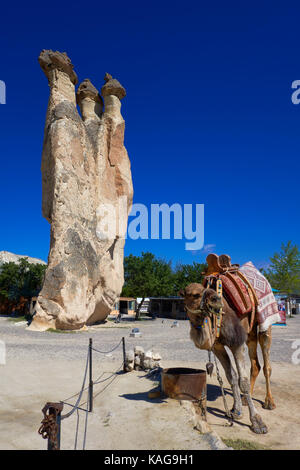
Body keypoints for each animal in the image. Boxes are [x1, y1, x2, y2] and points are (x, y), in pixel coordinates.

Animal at [179, 280, 274, 436]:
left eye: (206, 289)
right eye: (195, 294)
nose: (217, 300)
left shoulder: (236, 342)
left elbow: (243, 381)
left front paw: (257, 423)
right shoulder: (217, 346)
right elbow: (231, 376)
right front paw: (236, 411)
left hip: (265, 325)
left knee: (266, 365)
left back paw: (269, 402)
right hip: (250, 334)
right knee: (255, 364)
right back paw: (244, 401)